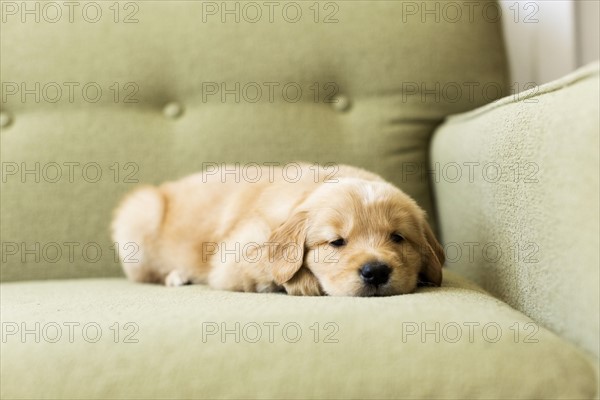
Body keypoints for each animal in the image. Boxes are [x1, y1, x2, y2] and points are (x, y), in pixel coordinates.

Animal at [111, 161, 446, 296]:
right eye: (336, 242)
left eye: (398, 238)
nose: (375, 272)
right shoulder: (233, 257)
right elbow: (271, 267)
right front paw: (304, 283)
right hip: (140, 214)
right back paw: (176, 276)